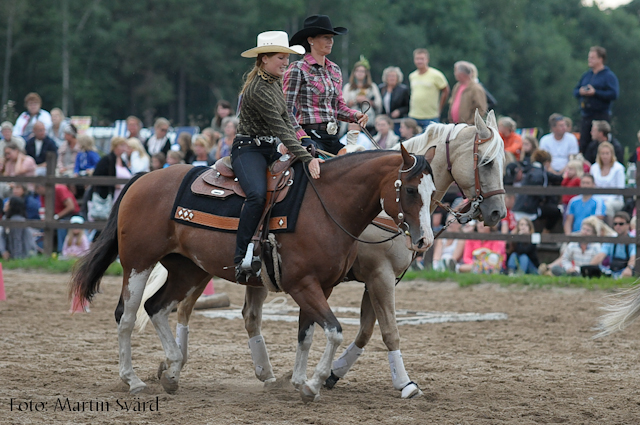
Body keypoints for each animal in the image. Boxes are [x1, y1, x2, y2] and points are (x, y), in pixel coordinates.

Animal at [71, 146, 440, 400]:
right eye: (409, 190)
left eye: (433, 193)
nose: (425, 240)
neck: (326, 206)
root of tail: (143, 178)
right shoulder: (305, 284)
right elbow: (335, 331)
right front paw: (315, 383)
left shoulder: (322, 287)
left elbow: (307, 334)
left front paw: (299, 381)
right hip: (139, 263)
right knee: (127, 315)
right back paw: (133, 379)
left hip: (187, 269)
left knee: (157, 307)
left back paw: (172, 370)